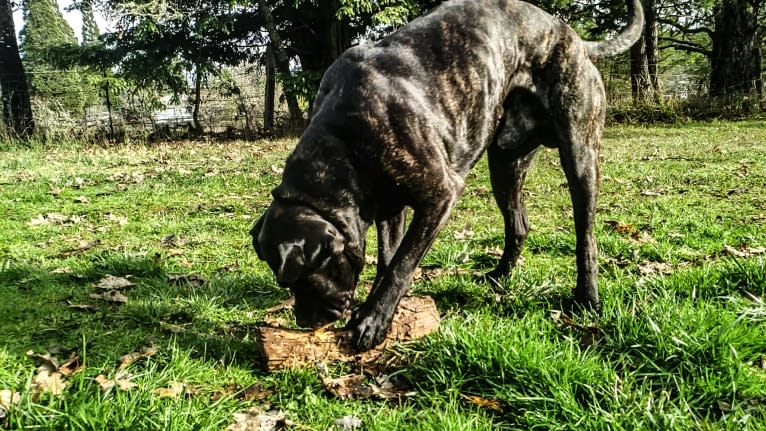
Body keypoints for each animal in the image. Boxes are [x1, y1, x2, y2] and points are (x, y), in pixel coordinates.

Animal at [254, 0, 648, 352]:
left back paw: (587, 297)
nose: (304, 320)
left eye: (303, 276)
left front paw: (373, 321)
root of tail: (575, 39)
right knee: (518, 225)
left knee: (586, 237)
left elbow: (401, 264)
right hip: (504, 166)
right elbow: (388, 258)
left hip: (579, 155)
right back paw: (499, 276)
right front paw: (381, 309)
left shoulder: (440, 195)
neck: (344, 141)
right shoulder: (389, 206)